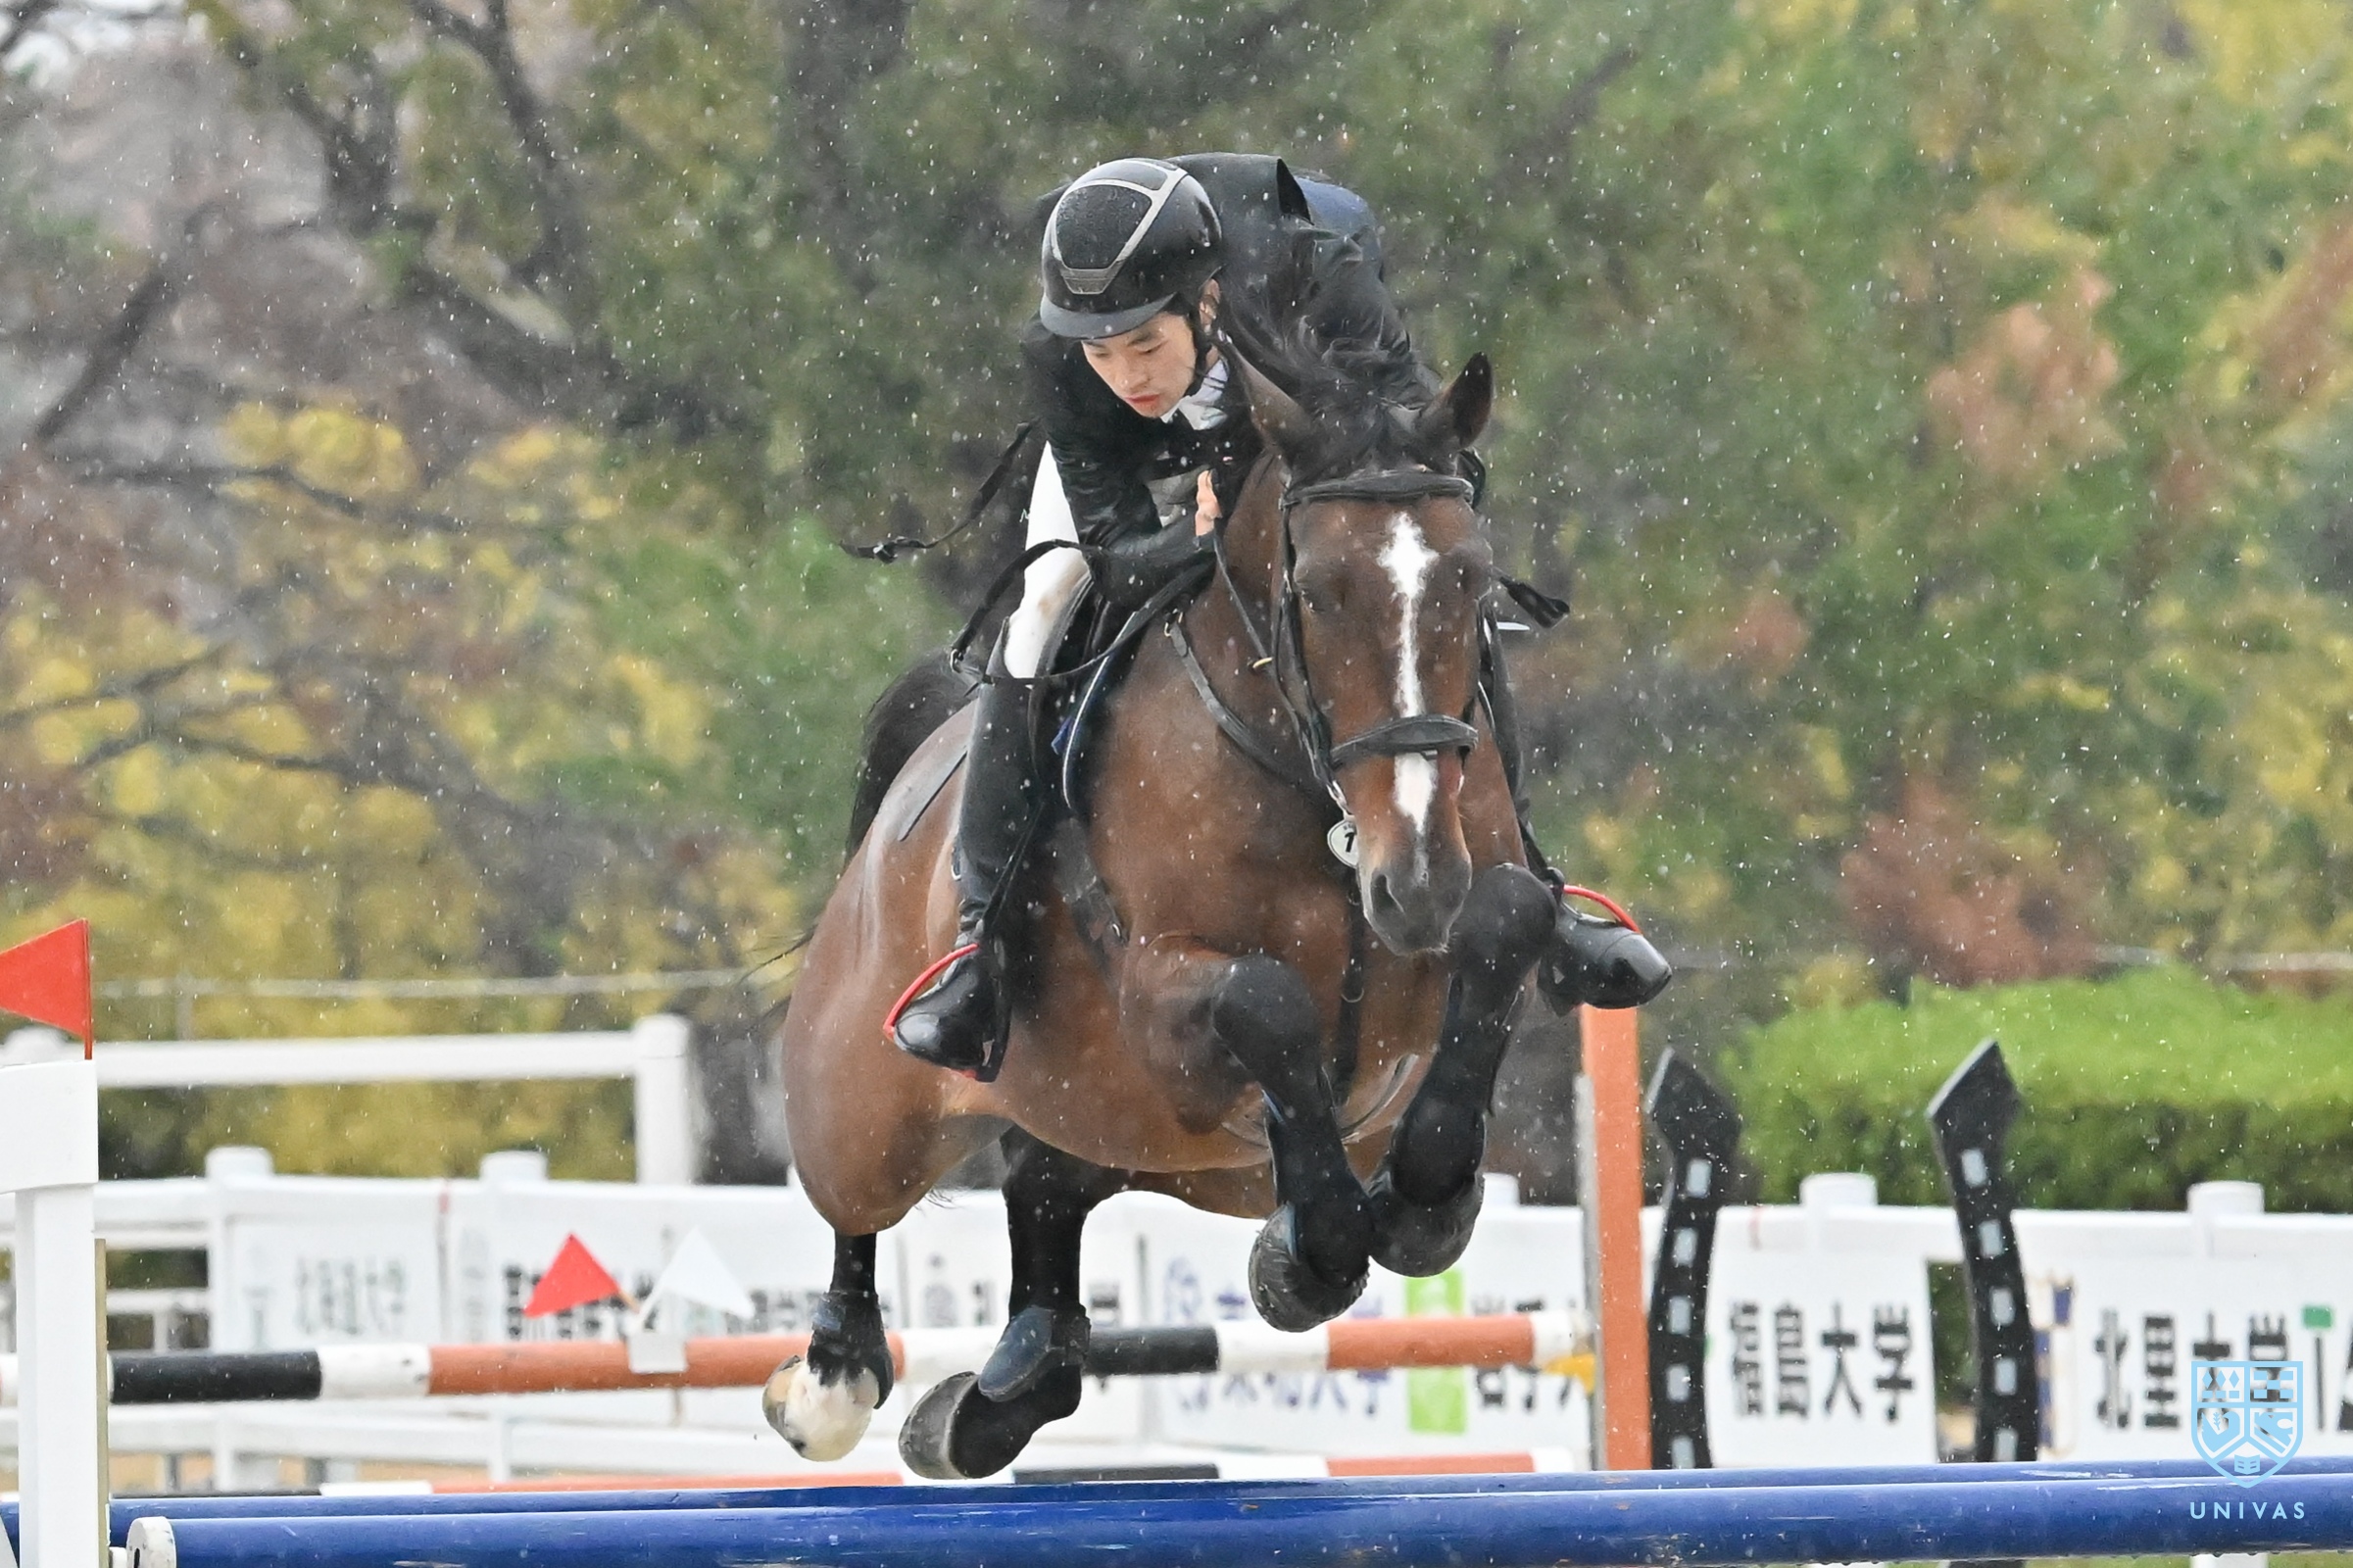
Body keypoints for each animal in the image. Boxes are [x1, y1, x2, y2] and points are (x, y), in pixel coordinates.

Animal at [768, 345, 1564, 1481]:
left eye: (1472, 581)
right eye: (1317, 593)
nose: (1412, 883)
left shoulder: (1467, 905)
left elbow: (1509, 919)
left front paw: (1421, 1202)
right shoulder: (1159, 996)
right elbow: (1268, 1003)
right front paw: (1309, 1254)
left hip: (1131, 1140)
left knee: (1046, 1187)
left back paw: (1003, 1389)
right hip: (863, 1110)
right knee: (856, 1202)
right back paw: (834, 1379)